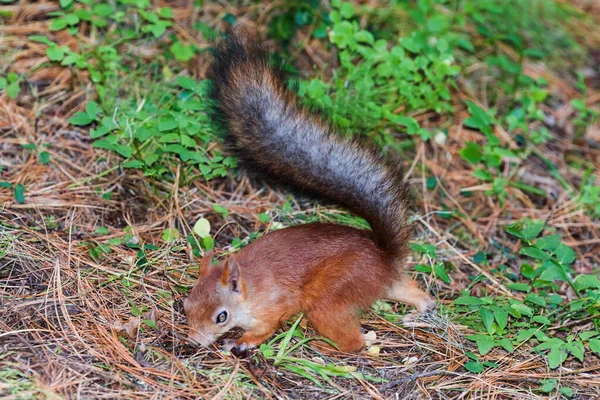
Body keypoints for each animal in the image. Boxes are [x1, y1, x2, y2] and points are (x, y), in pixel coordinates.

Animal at [183, 34, 436, 354]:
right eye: (186, 305)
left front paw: (240, 342)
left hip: (331, 294)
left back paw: (326, 346)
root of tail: (385, 256)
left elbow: (266, 328)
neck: (251, 288)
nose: (193, 341)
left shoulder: (277, 304)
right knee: (413, 291)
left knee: (353, 342)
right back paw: (421, 310)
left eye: (221, 316)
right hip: (387, 286)